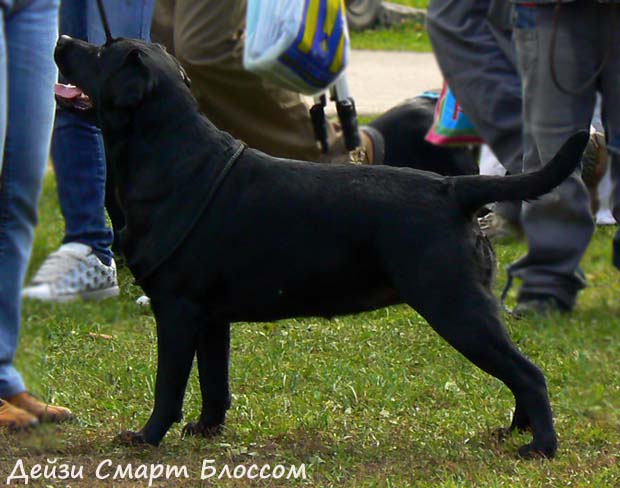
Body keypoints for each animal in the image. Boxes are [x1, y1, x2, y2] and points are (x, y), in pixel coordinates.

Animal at [52, 36, 588, 460]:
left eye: (100, 52)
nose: (61, 38)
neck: (169, 155)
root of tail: (453, 189)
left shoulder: (177, 310)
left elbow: (169, 385)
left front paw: (145, 437)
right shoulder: (211, 317)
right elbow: (214, 381)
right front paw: (206, 430)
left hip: (455, 306)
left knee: (530, 373)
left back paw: (540, 447)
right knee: (519, 372)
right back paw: (513, 430)